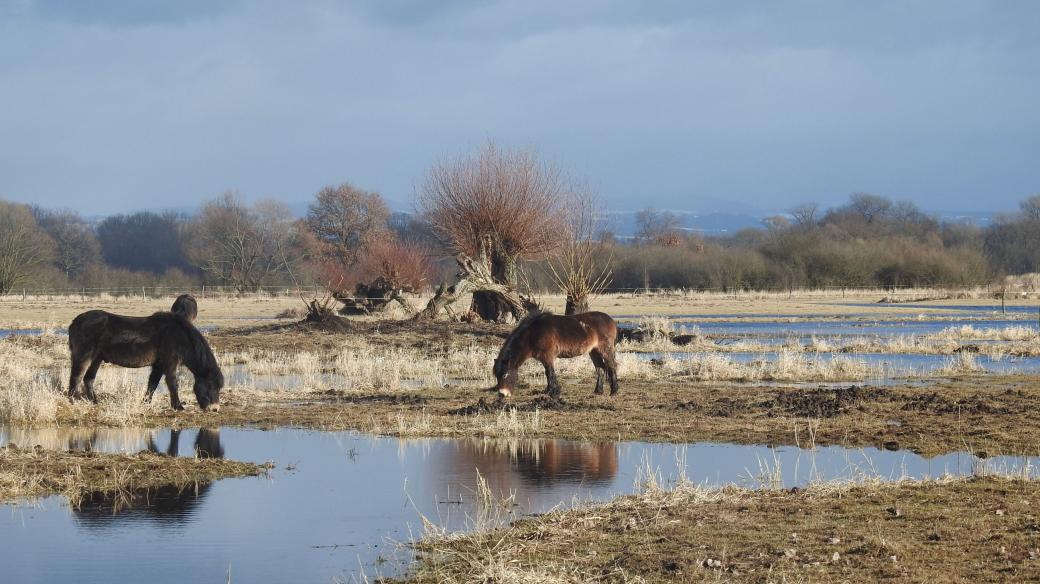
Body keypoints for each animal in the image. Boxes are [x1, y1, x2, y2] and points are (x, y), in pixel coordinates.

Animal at [69, 309, 225, 409]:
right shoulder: (169, 363)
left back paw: (95, 402)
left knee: (88, 379)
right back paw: (72, 401)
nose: (215, 409)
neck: (180, 336)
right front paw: (178, 406)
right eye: (210, 385)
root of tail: (75, 321)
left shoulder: (159, 365)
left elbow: (152, 384)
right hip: (84, 356)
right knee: (76, 377)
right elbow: (173, 384)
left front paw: (146, 403)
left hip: (97, 358)